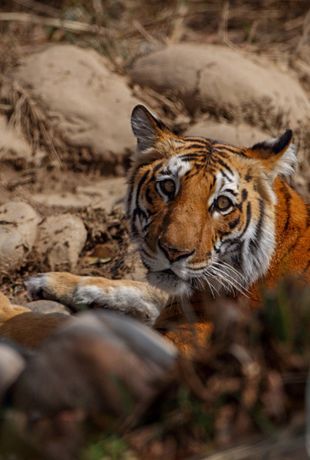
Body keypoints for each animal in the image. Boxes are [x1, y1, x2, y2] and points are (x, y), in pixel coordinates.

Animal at [0, 105, 308, 356]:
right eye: (168, 186)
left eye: (222, 203)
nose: (174, 252)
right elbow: (135, 287)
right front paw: (50, 281)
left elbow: (47, 326)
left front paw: (7, 310)